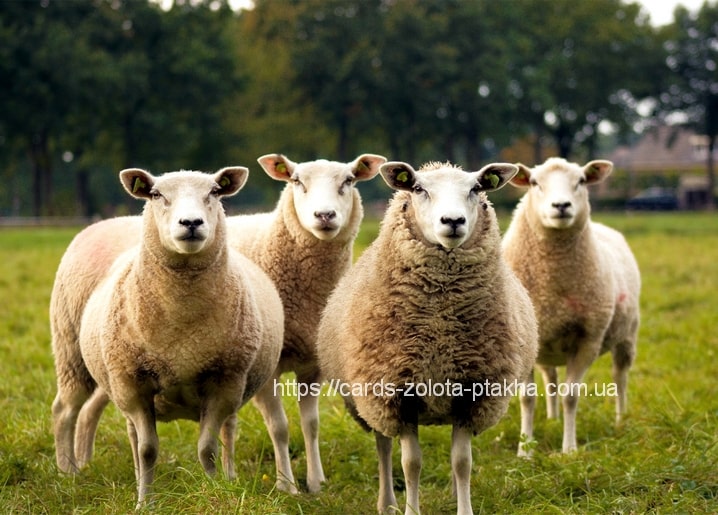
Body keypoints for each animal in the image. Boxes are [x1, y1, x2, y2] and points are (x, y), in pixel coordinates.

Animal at [52, 167, 284, 507]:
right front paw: (144, 503)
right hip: (72, 353)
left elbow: (207, 449)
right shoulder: (133, 384)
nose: (191, 223)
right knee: (66, 410)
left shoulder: (225, 382)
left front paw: (215, 492)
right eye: (156, 194)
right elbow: (148, 450)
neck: (181, 326)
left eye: (215, 192)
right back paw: (67, 473)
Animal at [225, 153, 385, 493]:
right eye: (297, 181)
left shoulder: (313, 364)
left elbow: (311, 425)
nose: (324, 215)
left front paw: (315, 482)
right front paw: (286, 485)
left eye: (349, 180)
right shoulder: (269, 367)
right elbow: (280, 427)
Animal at [316, 161, 539, 515]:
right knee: (383, 447)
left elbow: (462, 462)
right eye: (419, 189)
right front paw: (411, 509)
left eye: (477, 188)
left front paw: (464, 509)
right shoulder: (397, 394)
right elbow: (411, 464)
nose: (453, 221)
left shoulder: (471, 393)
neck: (440, 326)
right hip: (371, 402)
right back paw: (387, 503)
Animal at [501, 157, 641, 455]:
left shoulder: (589, 340)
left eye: (581, 181)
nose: (561, 206)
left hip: (627, 335)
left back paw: (620, 419)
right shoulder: (522, 342)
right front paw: (525, 450)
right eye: (534, 183)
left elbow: (571, 396)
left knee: (620, 377)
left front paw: (569, 449)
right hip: (545, 345)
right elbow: (528, 399)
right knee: (551, 378)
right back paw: (552, 419)